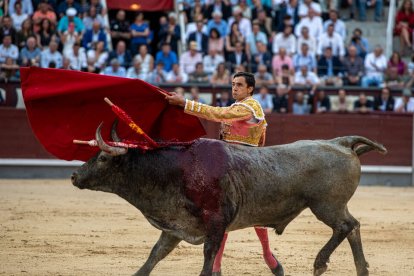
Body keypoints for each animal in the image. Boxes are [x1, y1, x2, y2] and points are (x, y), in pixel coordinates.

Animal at [70, 123, 384, 276]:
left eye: (101, 158)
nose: (74, 176)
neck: (176, 170)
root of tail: (340, 142)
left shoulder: (216, 221)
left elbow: (208, 255)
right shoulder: (175, 224)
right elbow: (154, 256)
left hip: (325, 206)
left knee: (345, 227)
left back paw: (320, 264)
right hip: (334, 206)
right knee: (353, 227)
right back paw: (362, 270)